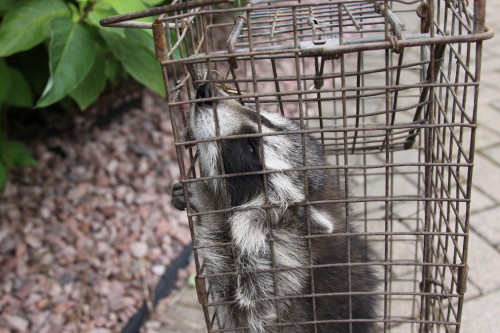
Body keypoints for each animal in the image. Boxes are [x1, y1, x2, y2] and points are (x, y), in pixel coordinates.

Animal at [171, 82, 376, 330]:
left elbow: (244, 310)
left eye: (250, 149)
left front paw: (210, 206)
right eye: (260, 117)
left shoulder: (282, 278)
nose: (205, 92)